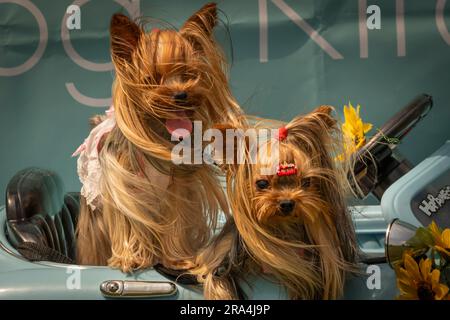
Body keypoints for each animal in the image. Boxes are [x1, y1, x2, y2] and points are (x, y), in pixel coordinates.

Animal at [74, 3, 243, 272]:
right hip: (93, 217)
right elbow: (130, 220)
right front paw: (130, 258)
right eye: (152, 79)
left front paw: (177, 258)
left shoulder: (178, 189)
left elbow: (176, 221)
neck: (158, 134)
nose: (182, 95)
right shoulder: (126, 187)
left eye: (189, 75)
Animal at [192, 106, 358, 298]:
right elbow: (219, 284)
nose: (287, 203)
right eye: (262, 183)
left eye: (306, 182)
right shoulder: (220, 262)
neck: (280, 228)